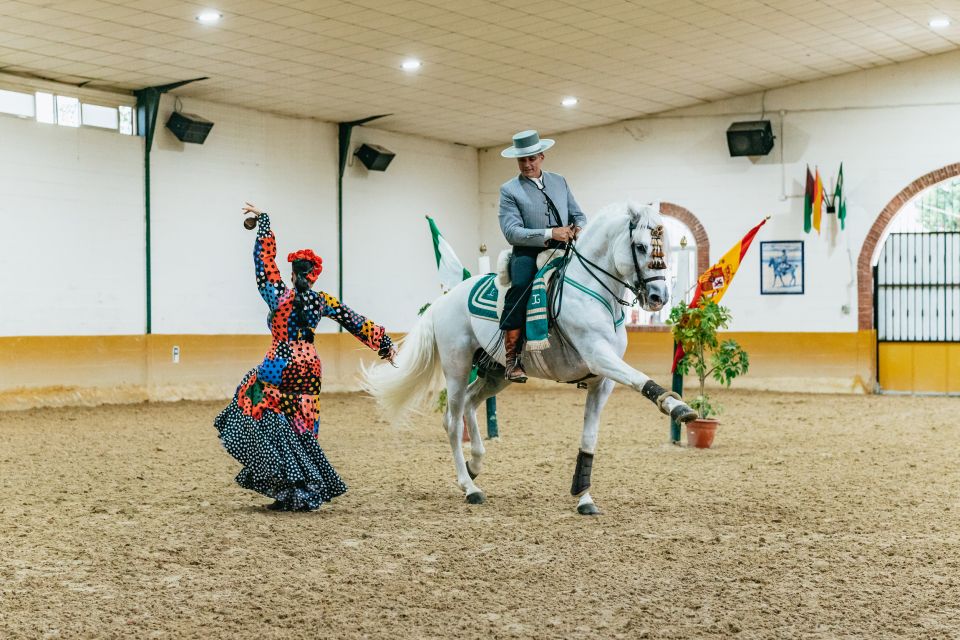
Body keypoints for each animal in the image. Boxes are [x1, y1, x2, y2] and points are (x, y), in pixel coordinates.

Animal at [364, 204, 692, 516]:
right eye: (641, 246)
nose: (658, 297)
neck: (594, 293)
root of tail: (444, 300)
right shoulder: (598, 356)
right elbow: (640, 378)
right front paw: (678, 408)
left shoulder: (601, 382)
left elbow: (589, 438)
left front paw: (584, 497)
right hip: (457, 369)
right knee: (453, 422)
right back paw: (469, 487)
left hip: (496, 375)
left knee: (470, 403)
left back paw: (475, 465)